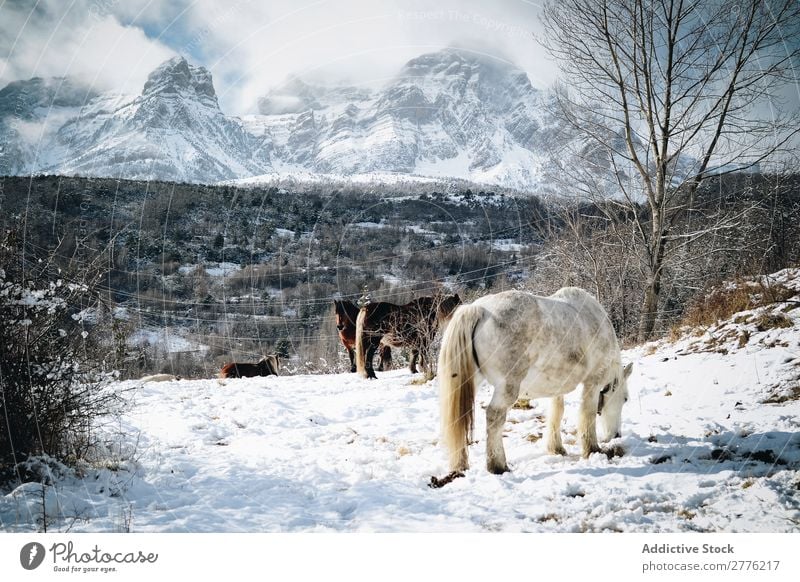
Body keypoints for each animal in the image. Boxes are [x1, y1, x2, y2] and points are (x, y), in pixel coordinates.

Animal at [438, 288, 632, 474]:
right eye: (625, 399)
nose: (616, 435)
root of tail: (479, 309)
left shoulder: (557, 386)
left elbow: (557, 412)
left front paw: (556, 448)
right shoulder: (592, 383)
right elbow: (588, 414)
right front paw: (592, 449)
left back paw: (461, 464)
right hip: (507, 387)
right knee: (494, 417)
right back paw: (498, 465)